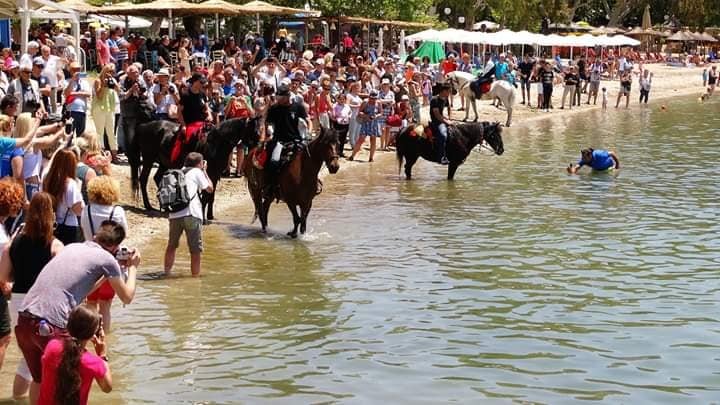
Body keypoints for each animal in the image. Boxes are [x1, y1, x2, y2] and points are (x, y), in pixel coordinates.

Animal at [129, 117, 258, 219]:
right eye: (253, 131)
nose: (257, 148)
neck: (217, 142)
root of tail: (142, 126)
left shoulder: (215, 174)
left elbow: (211, 195)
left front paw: (210, 215)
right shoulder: (210, 172)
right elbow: (206, 195)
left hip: (164, 163)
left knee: (157, 177)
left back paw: (167, 206)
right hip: (148, 159)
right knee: (143, 179)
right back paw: (148, 205)